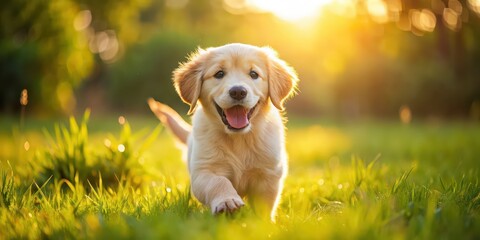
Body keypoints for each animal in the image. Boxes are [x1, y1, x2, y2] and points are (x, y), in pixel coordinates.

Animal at [148, 43, 298, 221]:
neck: (239, 138)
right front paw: (227, 202)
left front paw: (263, 223)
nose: (238, 91)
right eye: (219, 74)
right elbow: (218, 182)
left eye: (254, 74)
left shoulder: (268, 174)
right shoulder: (203, 171)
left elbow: (263, 206)